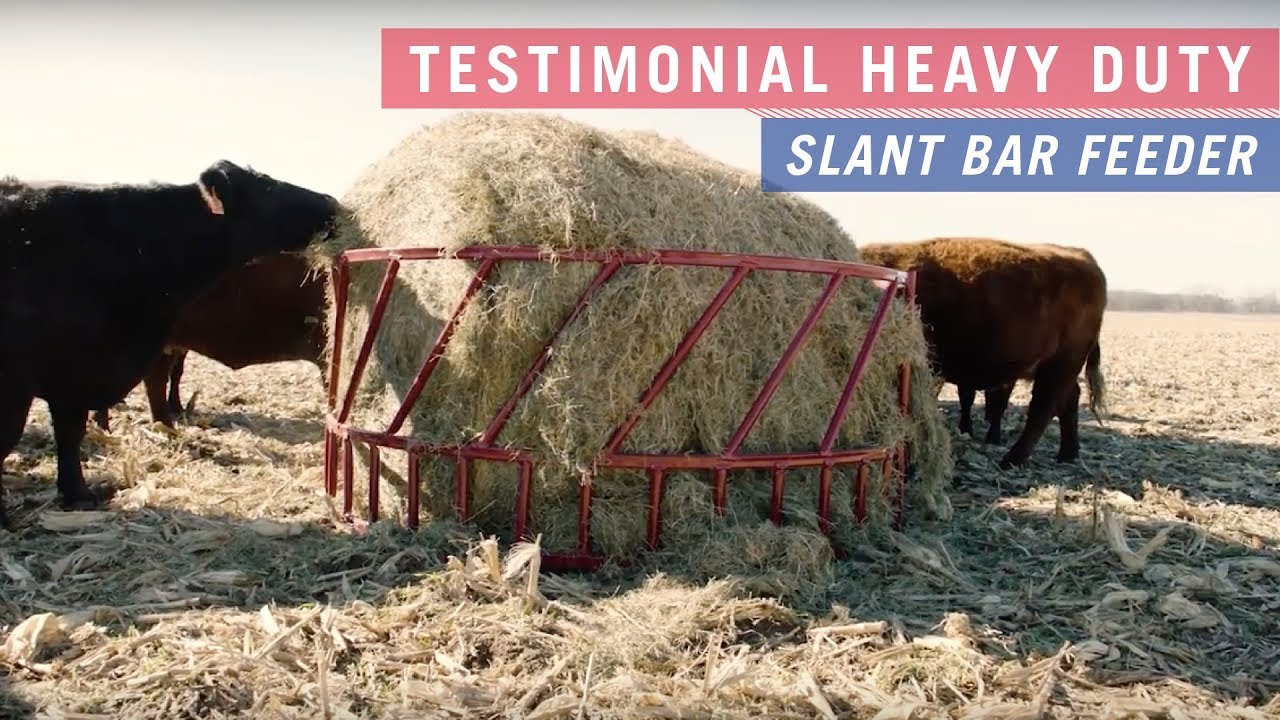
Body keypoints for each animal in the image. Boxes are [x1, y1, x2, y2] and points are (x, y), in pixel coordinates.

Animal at [859, 237, 1107, 469]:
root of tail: (1083, 257)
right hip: (1057, 369)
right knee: (1067, 400)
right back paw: (1067, 454)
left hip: (1060, 365)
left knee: (1042, 409)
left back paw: (1012, 460)